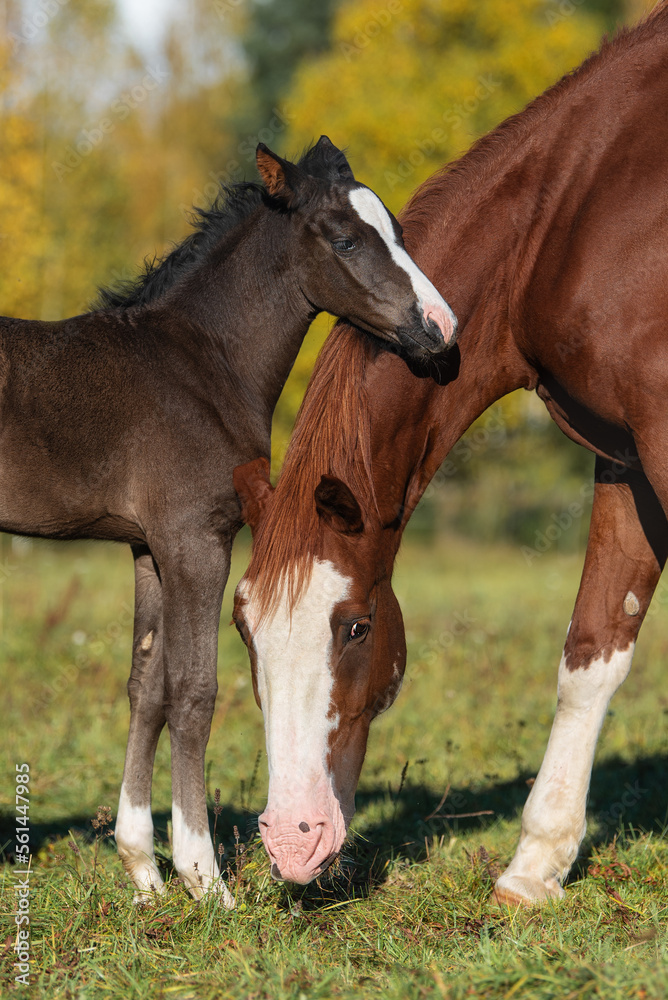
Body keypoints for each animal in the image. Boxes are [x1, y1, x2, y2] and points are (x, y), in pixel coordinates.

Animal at [0, 136, 457, 905]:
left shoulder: (150, 547)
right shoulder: (197, 539)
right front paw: (204, 878)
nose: (442, 330)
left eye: (397, 230)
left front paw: (144, 873)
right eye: (344, 238)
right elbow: (194, 691)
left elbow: (146, 687)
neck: (199, 364)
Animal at [233, 5, 668, 901]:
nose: (292, 842)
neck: (575, 210)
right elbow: (592, 647)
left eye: (356, 628)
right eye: (245, 631)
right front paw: (535, 866)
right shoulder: (627, 455)